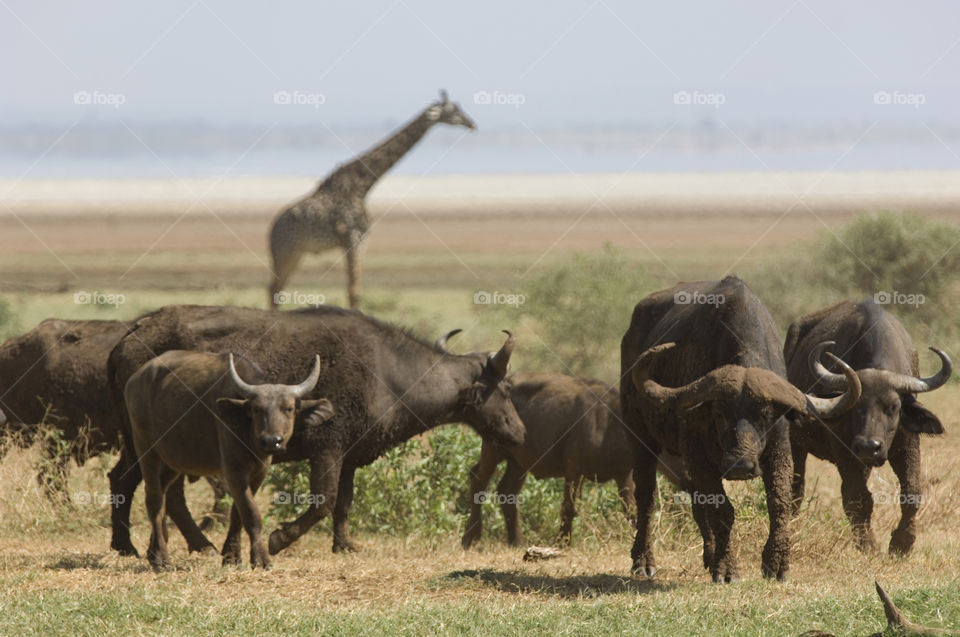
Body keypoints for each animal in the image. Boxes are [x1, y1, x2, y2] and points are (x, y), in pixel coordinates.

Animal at [105, 304, 524, 556]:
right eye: (504, 388)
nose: (519, 433)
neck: (388, 373)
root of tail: (132, 332)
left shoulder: (349, 457)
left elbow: (343, 503)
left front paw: (344, 545)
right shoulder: (327, 450)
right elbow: (323, 501)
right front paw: (278, 540)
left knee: (136, 483)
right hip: (153, 442)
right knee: (142, 485)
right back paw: (152, 545)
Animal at [266, 89, 476, 308]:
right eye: (453, 110)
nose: (472, 124)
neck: (362, 187)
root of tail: (271, 231)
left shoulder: (362, 240)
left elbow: (354, 290)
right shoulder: (354, 238)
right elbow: (354, 291)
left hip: (298, 253)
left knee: (276, 288)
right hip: (286, 251)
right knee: (274, 289)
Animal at [624, 274, 864, 580]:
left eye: (764, 414)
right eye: (720, 413)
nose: (740, 465)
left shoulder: (779, 449)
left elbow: (779, 503)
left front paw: (776, 563)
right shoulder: (698, 454)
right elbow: (722, 510)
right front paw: (727, 568)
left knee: (695, 501)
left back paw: (709, 555)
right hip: (639, 437)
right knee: (646, 497)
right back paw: (643, 562)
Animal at [784, 300, 948, 556]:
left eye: (893, 406)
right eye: (854, 406)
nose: (869, 447)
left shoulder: (907, 441)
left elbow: (911, 492)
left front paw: (902, 543)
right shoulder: (845, 450)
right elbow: (857, 497)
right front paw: (868, 545)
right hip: (796, 444)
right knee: (795, 488)